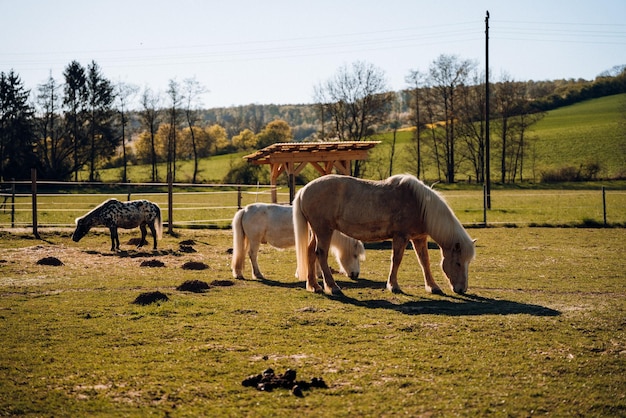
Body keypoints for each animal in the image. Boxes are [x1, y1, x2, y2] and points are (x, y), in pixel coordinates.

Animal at [232, 203, 364, 280]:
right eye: (355, 255)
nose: (356, 274)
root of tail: (245, 210)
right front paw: (317, 274)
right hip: (254, 240)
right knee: (252, 255)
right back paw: (258, 274)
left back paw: (239, 273)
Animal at [292, 175, 472, 296]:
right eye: (458, 263)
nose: (462, 289)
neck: (419, 204)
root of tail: (303, 191)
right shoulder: (401, 237)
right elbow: (396, 260)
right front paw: (394, 286)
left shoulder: (419, 238)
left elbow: (424, 262)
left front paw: (433, 287)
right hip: (324, 231)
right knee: (321, 254)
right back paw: (333, 287)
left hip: (317, 231)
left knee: (310, 252)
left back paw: (314, 286)